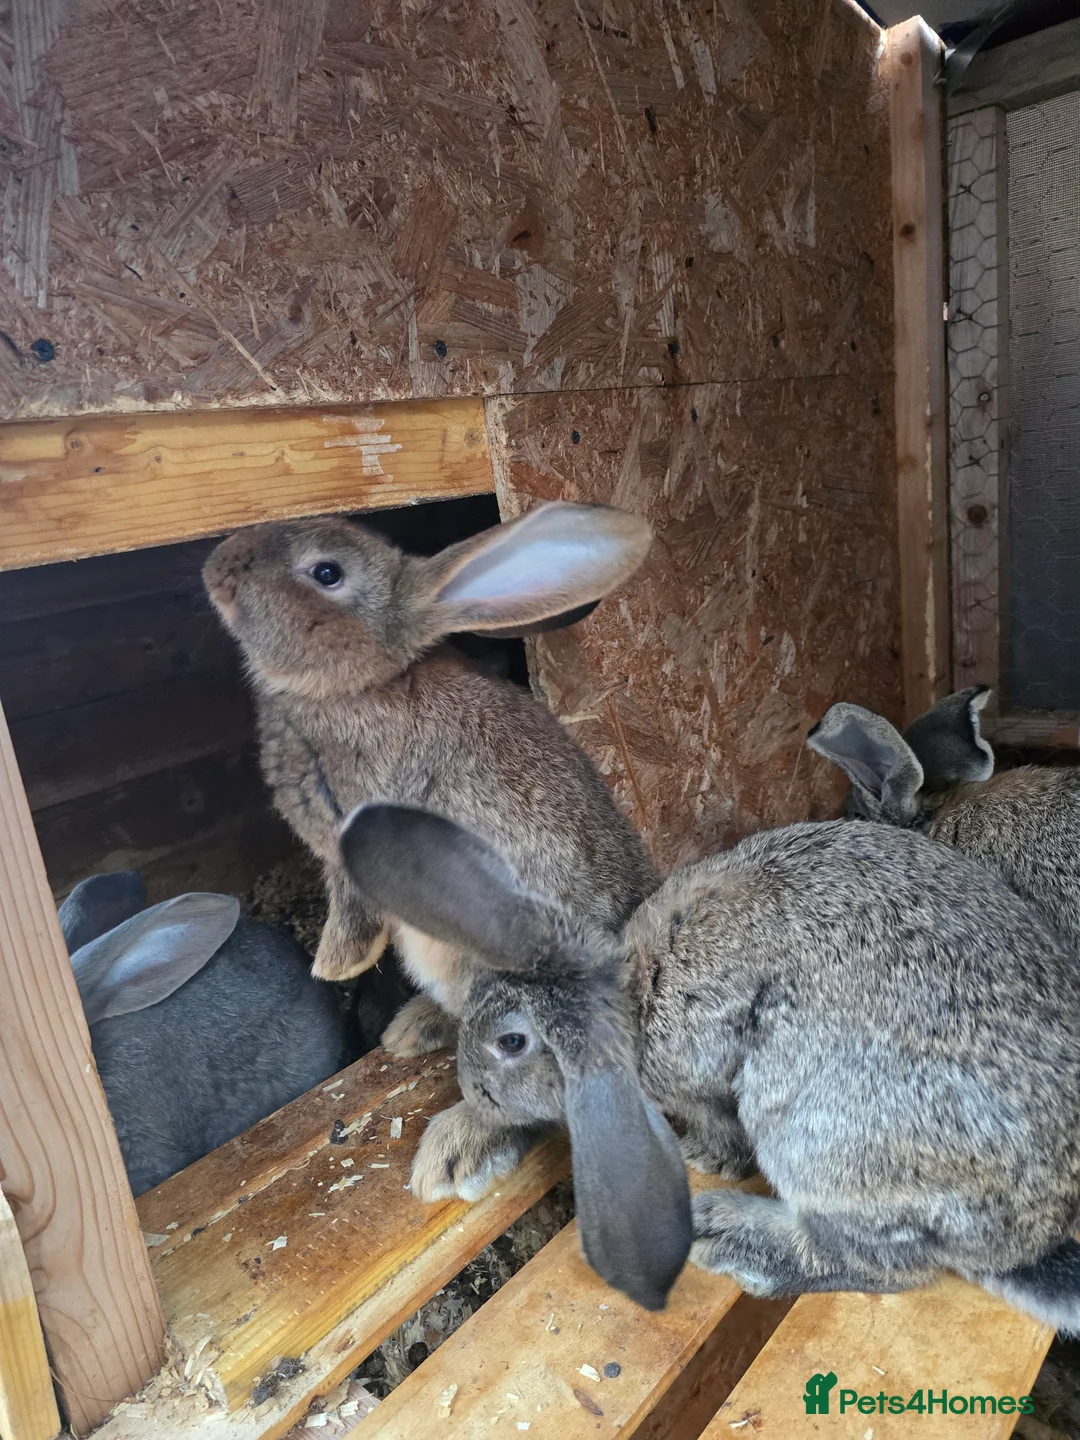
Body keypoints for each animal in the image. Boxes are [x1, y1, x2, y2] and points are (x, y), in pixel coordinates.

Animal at [202, 502, 658, 1196]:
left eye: (326, 572)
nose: (214, 565)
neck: (351, 689)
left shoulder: (352, 843)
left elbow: (351, 913)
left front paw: (331, 967)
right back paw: (413, 1029)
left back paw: (455, 1148)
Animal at [337, 801, 1080, 1330]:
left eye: (512, 1043)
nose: (473, 1088)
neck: (630, 999)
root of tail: (1028, 1235)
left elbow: (716, 1121)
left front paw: (710, 1158)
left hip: (818, 1135)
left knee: (883, 1266)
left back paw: (730, 1235)